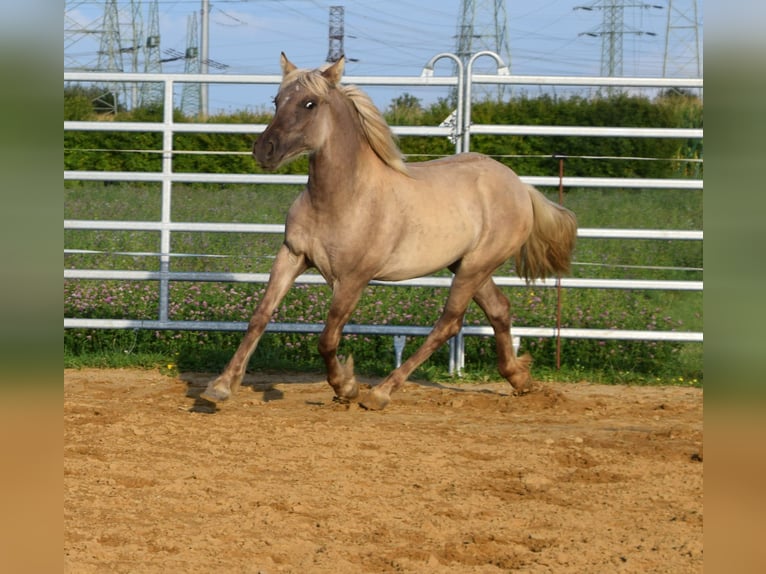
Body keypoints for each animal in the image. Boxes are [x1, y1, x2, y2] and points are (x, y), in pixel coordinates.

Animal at [201, 54, 580, 412]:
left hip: (476, 267)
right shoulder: (292, 256)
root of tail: (519, 186)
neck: (340, 199)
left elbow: (327, 338)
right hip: (466, 265)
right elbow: (259, 317)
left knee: (449, 323)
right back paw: (519, 379)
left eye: (310, 103)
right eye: (276, 100)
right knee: (499, 309)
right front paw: (219, 387)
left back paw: (381, 393)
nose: (264, 150)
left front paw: (347, 387)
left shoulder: (353, 278)